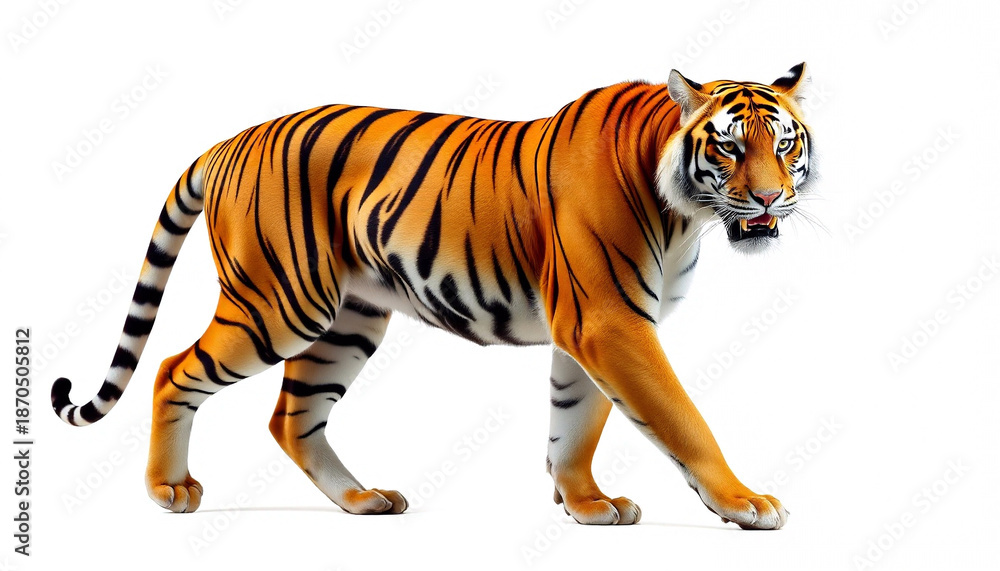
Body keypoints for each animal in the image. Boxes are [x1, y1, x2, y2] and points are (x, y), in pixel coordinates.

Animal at [51, 63, 814, 530]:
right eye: (728, 147)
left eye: (784, 143)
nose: (770, 197)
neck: (687, 214)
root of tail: (226, 142)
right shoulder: (609, 322)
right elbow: (681, 418)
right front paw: (746, 502)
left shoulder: (587, 331)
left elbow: (576, 423)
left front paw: (587, 503)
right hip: (278, 305)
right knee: (171, 368)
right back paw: (168, 489)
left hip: (347, 320)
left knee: (292, 417)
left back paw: (361, 499)